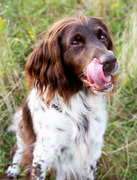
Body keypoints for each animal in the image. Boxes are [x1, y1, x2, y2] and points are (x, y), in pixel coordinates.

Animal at [5, 14, 118, 180]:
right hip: (21, 121)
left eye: (103, 36)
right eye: (75, 42)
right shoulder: (41, 157)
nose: (111, 60)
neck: (78, 109)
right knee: (20, 147)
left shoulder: (91, 156)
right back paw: (13, 169)